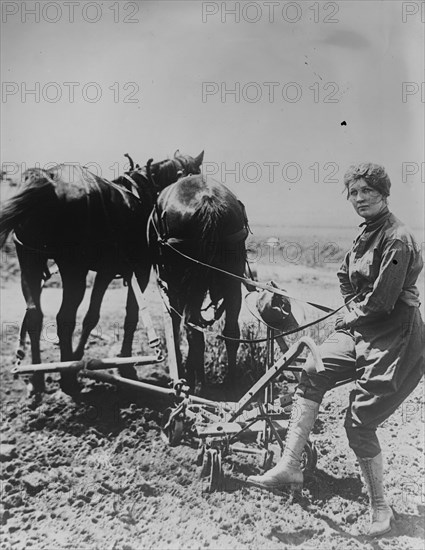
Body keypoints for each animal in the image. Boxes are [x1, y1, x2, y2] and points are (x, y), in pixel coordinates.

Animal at [0, 152, 204, 396]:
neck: (143, 194)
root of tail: (48, 178)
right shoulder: (140, 271)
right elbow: (131, 316)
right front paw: (126, 367)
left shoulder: (106, 272)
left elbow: (91, 317)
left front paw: (78, 357)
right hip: (73, 270)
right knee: (64, 318)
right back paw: (68, 380)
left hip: (29, 261)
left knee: (34, 316)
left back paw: (37, 378)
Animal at [148, 175, 248, 394]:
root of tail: (207, 201)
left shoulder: (172, 288)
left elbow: (175, 327)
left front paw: (181, 372)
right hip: (232, 281)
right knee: (230, 332)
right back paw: (232, 383)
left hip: (186, 286)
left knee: (193, 333)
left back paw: (197, 385)